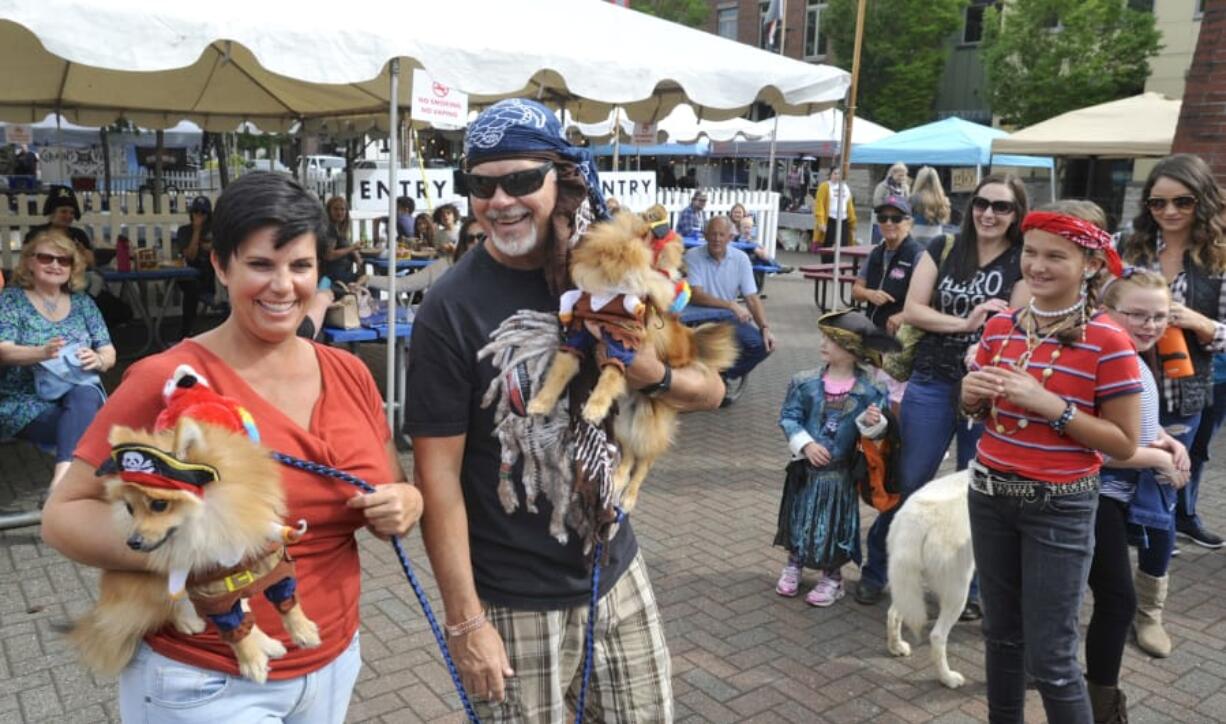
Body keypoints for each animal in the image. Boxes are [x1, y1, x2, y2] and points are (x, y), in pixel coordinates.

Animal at [70, 367, 321, 686]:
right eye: (129, 508)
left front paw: (303, 630)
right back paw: (192, 622)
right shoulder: (209, 585)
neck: (215, 521)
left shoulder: (268, 559)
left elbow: (287, 599)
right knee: (176, 603)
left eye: (159, 505)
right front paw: (251, 661)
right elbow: (234, 630)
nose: (132, 542)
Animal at [887, 470, 970, 690]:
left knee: (893, 614)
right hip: (957, 592)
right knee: (937, 636)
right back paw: (948, 679)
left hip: (906, 584)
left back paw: (897, 648)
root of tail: (917, 520)